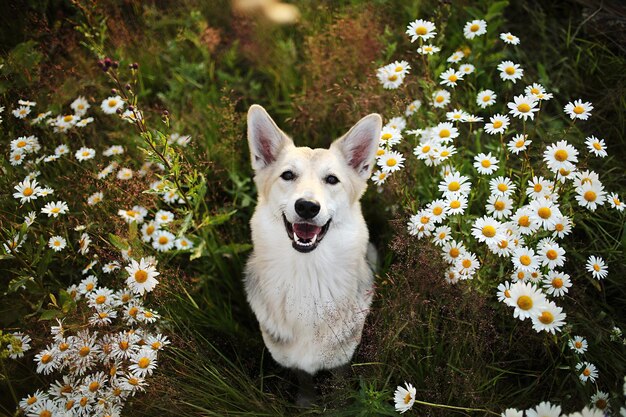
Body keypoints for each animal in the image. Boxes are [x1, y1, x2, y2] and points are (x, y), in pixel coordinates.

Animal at [244, 105, 380, 386]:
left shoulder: (341, 361)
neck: (306, 274)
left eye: (332, 179)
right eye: (287, 175)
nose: (307, 206)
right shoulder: (295, 364)